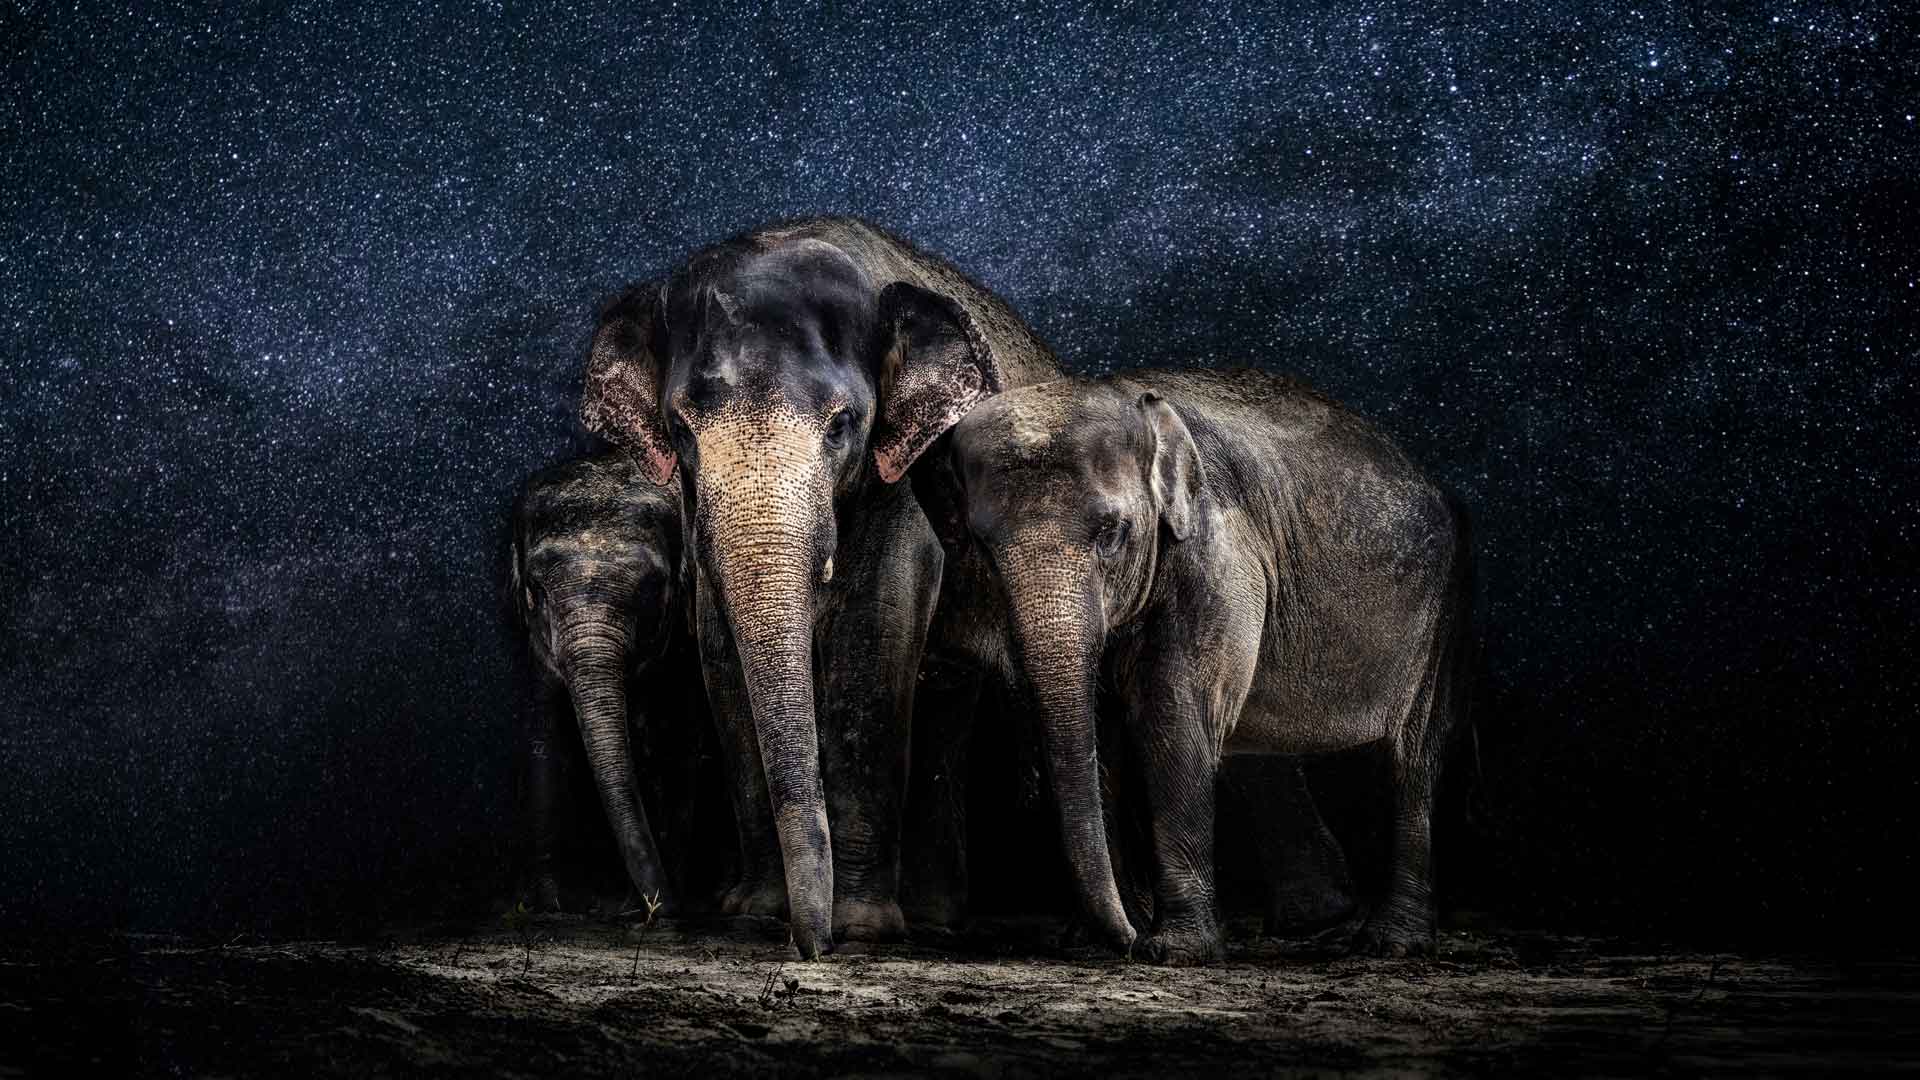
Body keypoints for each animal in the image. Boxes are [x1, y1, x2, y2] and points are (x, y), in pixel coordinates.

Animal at [510, 449, 701, 914]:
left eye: (651, 587)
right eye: (537, 590)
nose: (656, 908)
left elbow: (678, 742)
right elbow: (543, 735)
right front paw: (548, 902)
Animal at [578, 217, 1063, 957]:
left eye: (842, 424)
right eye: (682, 428)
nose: (810, 947)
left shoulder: (906, 479)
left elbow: (874, 638)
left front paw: (859, 926)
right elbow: (721, 655)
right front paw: (756, 913)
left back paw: (926, 921)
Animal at [936, 368, 1474, 963]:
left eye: (1112, 534)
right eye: (981, 545)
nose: (1127, 938)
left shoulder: (1217, 556)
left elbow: (1172, 714)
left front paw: (1173, 951)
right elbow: (1102, 731)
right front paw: (1095, 939)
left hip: (1441, 613)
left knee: (1413, 756)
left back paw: (1388, 944)